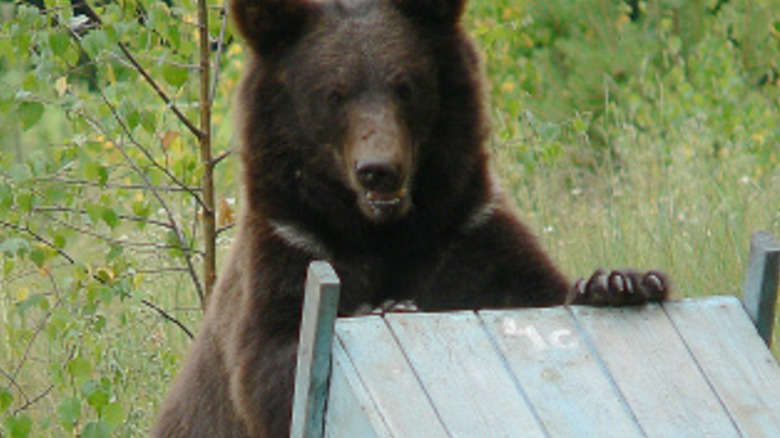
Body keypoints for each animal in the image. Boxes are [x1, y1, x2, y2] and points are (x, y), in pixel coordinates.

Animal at [152, 0, 670, 436]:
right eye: (333, 94)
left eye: (404, 85)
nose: (379, 169)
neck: (385, 234)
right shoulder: (293, 246)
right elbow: (276, 363)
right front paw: (383, 306)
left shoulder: (465, 233)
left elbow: (535, 290)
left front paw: (620, 282)